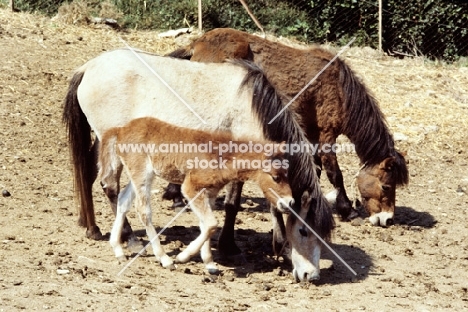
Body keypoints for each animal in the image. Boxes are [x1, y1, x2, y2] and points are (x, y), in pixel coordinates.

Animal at [166, 28, 408, 234]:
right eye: (386, 186)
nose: (388, 219)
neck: (339, 90)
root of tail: (198, 42)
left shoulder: (310, 135)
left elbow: (316, 170)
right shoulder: (326, 136)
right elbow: (335, 174)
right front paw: (348, 210)